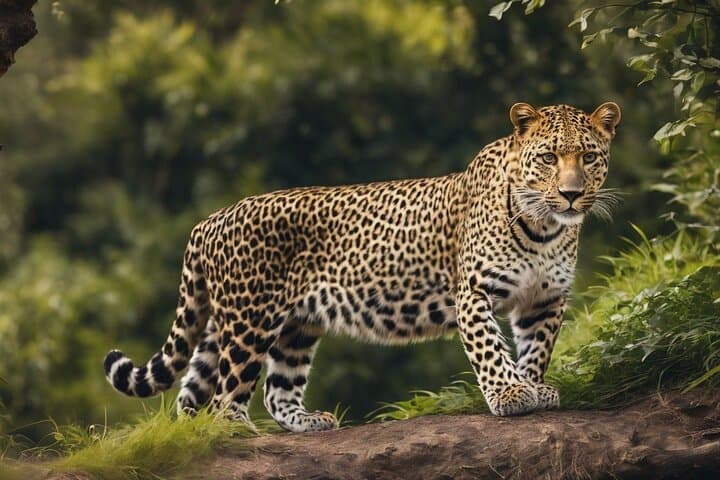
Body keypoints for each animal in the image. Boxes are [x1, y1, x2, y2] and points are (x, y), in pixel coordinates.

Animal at [104, 101, 621, 433]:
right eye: (549, 157)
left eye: (589, 157)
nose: (571, 194)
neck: (546, 227)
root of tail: (208, 221)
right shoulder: (474, 292)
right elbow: (491, 349)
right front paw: (511, 396)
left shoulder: (545, 300)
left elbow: (536, 350)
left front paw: (534, 388)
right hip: (250, 321)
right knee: (227, 393)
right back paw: (235, 430)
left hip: (281, 325)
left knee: (242, 391)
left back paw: (297, 424)